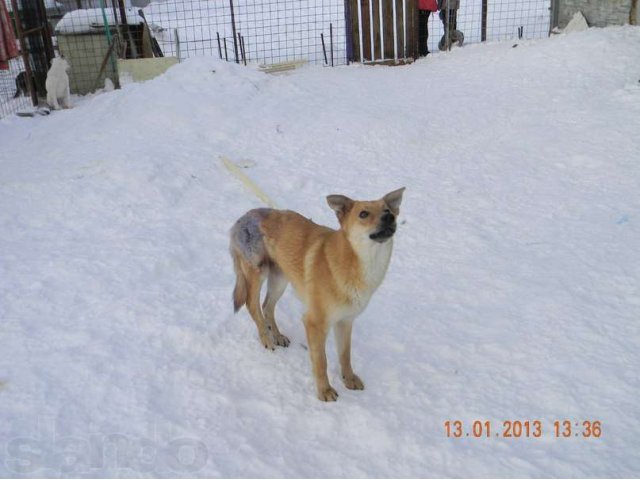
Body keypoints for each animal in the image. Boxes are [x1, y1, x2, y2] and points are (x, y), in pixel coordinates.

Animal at [228, 188, 402, 402]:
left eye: (387, 210)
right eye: (363, 214)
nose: (389, 217)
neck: (355, 263)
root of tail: (243, 217)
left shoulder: (345, 321)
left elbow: (345, 355)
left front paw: (349, 379)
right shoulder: (315, 323)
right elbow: (321, 362)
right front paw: (324, 391)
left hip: (280, 279)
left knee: (267, 306)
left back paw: (277, 335)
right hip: (257, 272)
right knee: (252, 305)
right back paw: (267, 339)